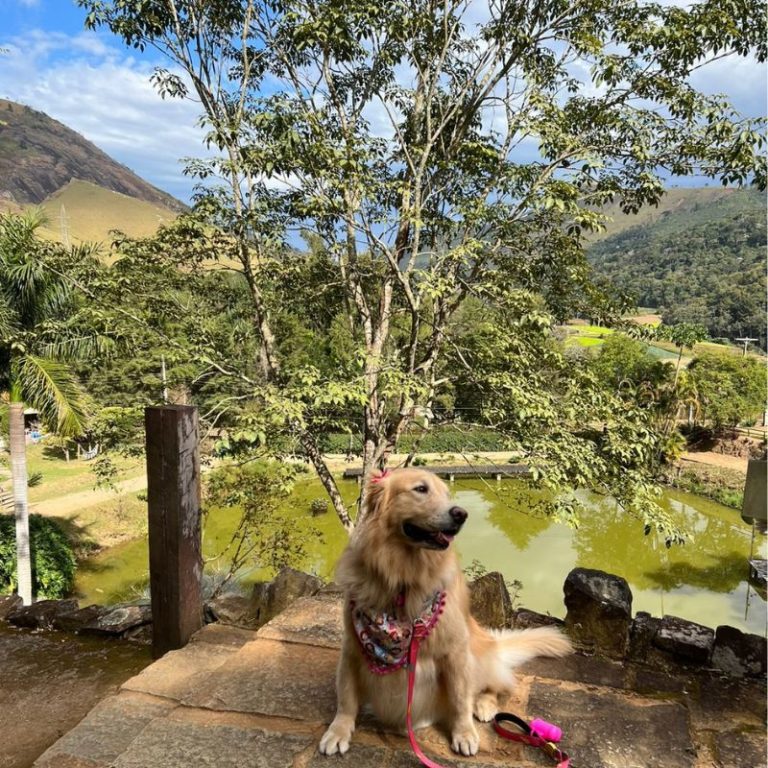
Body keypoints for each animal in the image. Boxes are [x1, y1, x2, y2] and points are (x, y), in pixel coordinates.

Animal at [316, 468, 568, 756]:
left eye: (447, 494)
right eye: (420, 489)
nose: (461, 514)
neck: (402, 579)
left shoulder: (455, 651)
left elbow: (460, 699)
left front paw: (464, 733)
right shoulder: (352, 647)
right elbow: (346, 696)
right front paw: (338, 731)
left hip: (478, 656)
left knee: (494, 685)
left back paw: (484, 706)